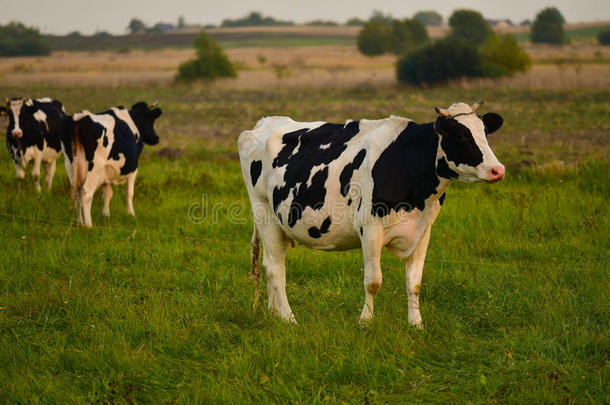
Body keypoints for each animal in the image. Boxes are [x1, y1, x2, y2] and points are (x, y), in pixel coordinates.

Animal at [238, 100, 504, 326]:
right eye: (462, 136)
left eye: (484, 133)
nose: (497, 170)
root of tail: (264, 122)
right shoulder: (370, 227)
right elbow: (373, 281)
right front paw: (365, 322)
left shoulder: (423, 230)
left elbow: (415, 283)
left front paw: (416, 324)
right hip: (263, 211)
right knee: (275, 268)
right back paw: (289, 318)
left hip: (279, 224)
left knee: (272, 263)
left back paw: (274, 313)